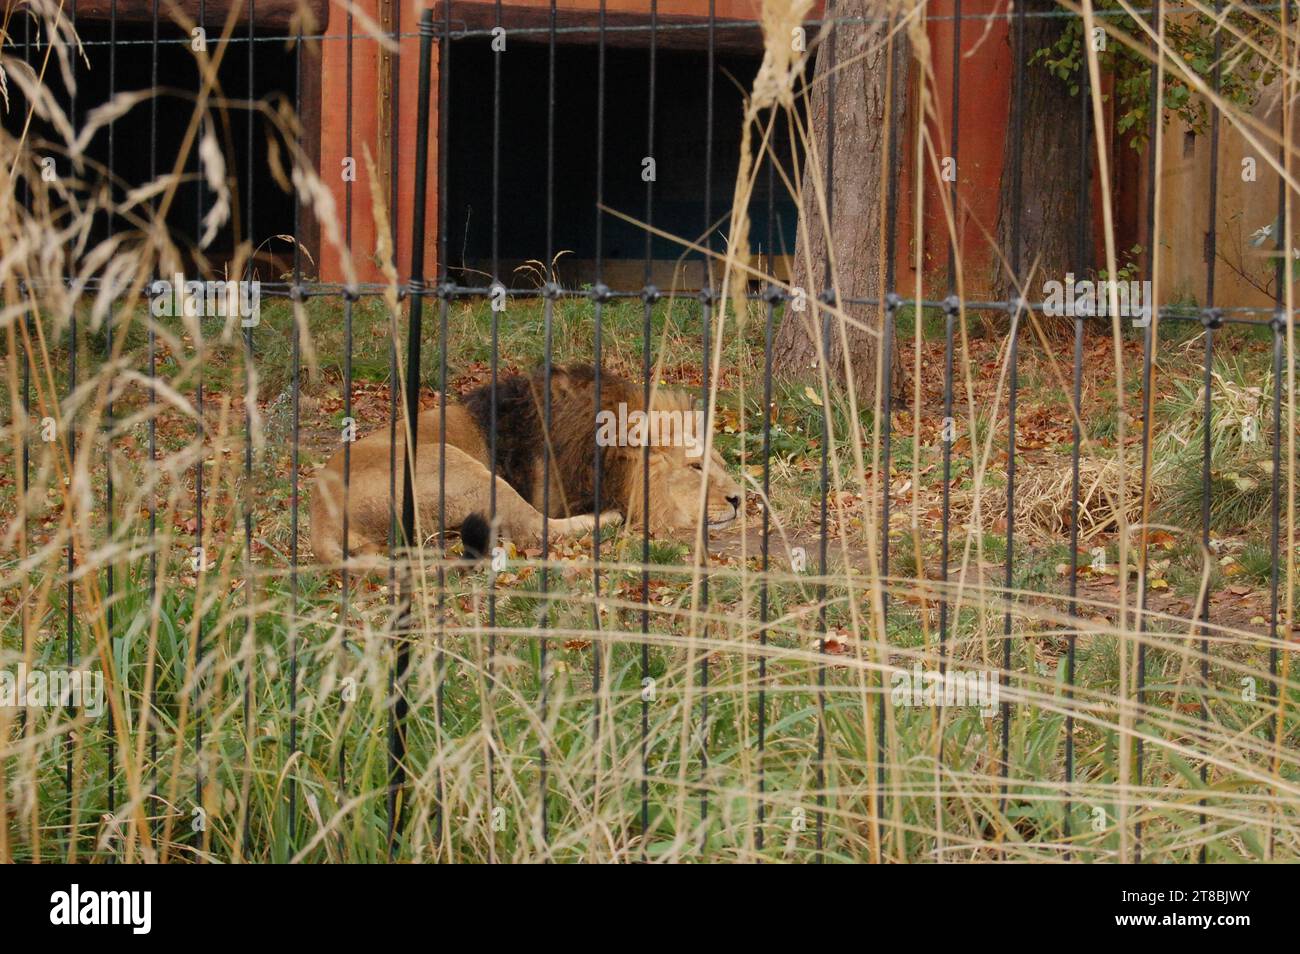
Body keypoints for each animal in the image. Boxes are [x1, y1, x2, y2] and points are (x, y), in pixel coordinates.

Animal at [308, 361, 748, 564]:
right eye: (695, 467)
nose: (740, 499)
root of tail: (321, 517)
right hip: (454, 463)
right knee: (535, 529)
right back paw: (608, 516)